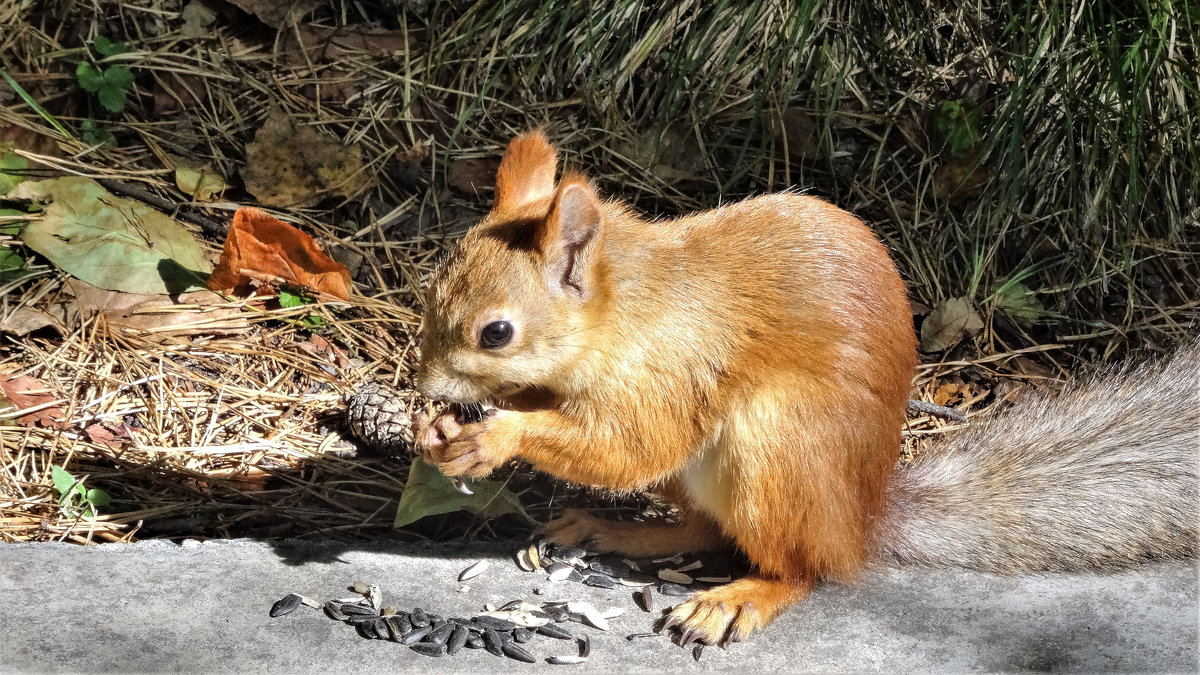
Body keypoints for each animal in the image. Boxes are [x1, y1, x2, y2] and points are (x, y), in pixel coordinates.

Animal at [412, 130, 1200, 638]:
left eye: (495, 333)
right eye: (429, 290)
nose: (424, 381)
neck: (624, 310)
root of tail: (862, 521)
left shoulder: (671, 370)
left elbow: (630, 446)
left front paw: (495, 436)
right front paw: (440, 430)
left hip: (776, 442)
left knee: (804, 569)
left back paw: (738, 598)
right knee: (704, 526)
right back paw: (609, 527)